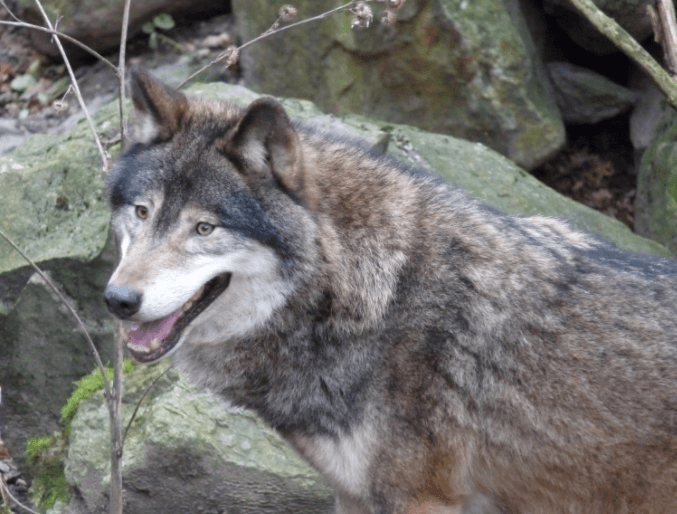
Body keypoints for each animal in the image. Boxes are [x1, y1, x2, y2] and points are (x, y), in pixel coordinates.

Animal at [103, 68, 677, 514]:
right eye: (142, 212)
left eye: (204, 228)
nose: (118, 301)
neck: (372, 298)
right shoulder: (353, 493)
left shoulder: (420, 497)